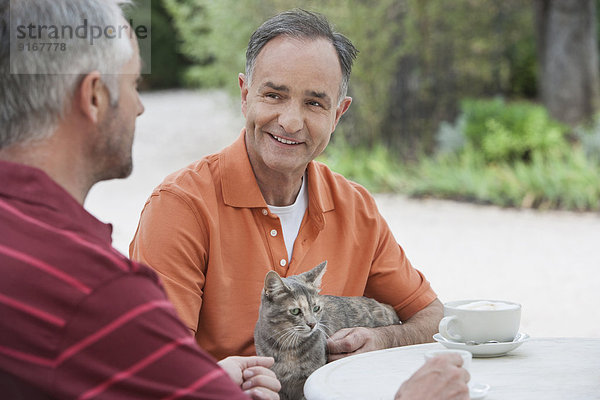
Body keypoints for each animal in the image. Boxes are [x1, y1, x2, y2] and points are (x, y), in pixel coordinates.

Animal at [253, 260, 398, 398]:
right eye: (295, 311)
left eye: (316, 308)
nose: (312, 324)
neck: (288, 348)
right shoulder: (278, 384)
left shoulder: (308, 379)